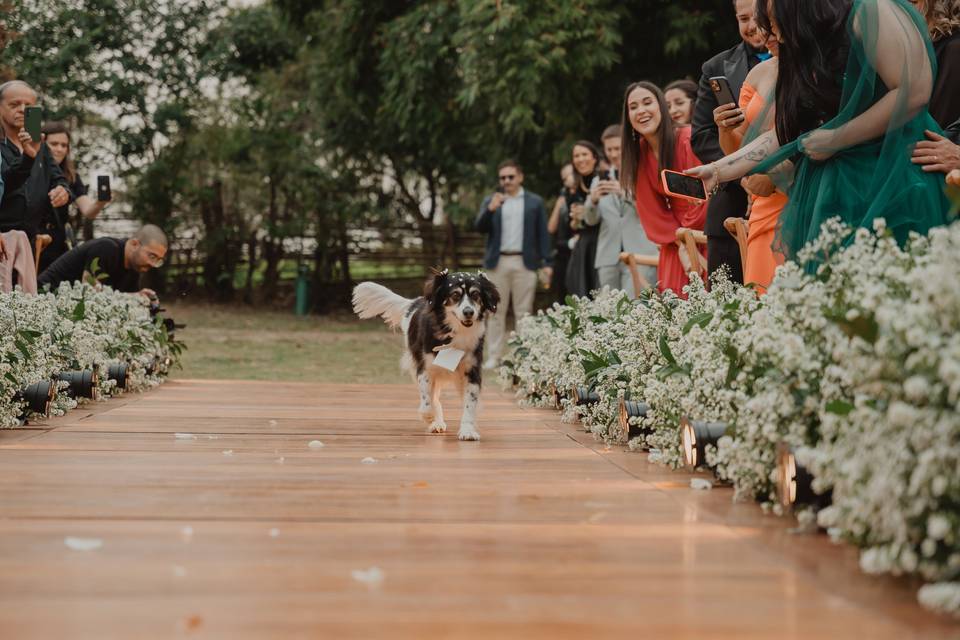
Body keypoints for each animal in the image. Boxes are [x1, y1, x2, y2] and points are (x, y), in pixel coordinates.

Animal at [352, 268, 502, 440]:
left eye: (476, 294)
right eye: (455, 295)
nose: (469, 312)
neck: (454, 333)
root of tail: (415, 302)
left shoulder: (472, 371)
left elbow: (469, 404)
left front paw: (467, 430)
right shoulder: (425, 368)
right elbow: (427, 399)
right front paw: (429, 416)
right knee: (433, 397)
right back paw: (435, 422)